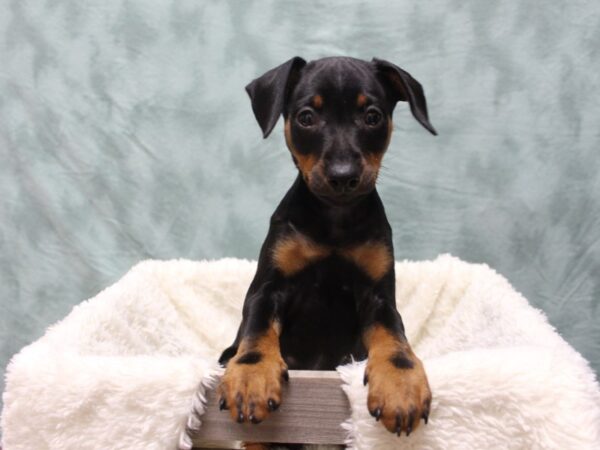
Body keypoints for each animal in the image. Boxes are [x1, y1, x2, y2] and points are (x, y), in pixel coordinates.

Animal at [216, 56, 436, 440]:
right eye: (306, 117)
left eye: (372, 116)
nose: (343, 176)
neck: (334, 220)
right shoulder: (268, 288)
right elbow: (257, 328)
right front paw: (251, 376)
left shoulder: (378, 295)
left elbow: (394, 337)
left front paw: (401, 386)